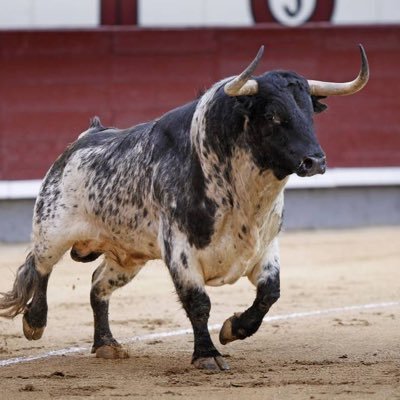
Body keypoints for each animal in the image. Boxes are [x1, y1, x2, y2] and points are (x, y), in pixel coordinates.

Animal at [0, 45, 368, 370]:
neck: (244, 196)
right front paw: (207, 355)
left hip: (126, 255)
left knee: (97, 285)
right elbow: (198, 302)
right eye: (273, 115)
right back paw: (35, 323)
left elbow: (269, 293)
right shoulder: (180, 250)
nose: (315, 161)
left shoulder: (265, 246)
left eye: (308, 113)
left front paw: (233, 329)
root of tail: (82, 139)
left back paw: (106, 344)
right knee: (41, 268)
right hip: (52, 229)